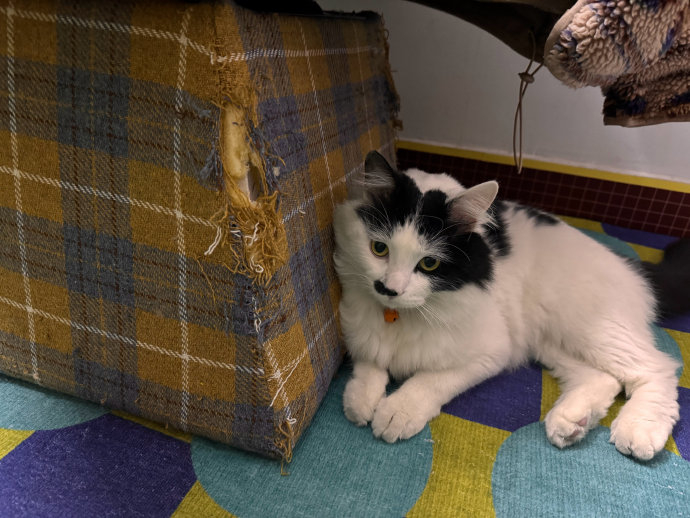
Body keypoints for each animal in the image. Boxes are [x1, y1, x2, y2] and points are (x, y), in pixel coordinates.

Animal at [333, 150, 686, 461]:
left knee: (656, 368)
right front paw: (360, 400)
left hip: (592, 328)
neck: (401, 315)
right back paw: (570, 422)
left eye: (429, 264)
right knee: (603, 378)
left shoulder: (490, 351)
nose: (389, 289)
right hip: (550, 340)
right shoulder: (360, 329)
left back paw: (639, 430)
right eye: (379, 249)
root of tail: (629, 263)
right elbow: (369, 361)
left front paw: (397, 411)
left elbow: (428, 381)